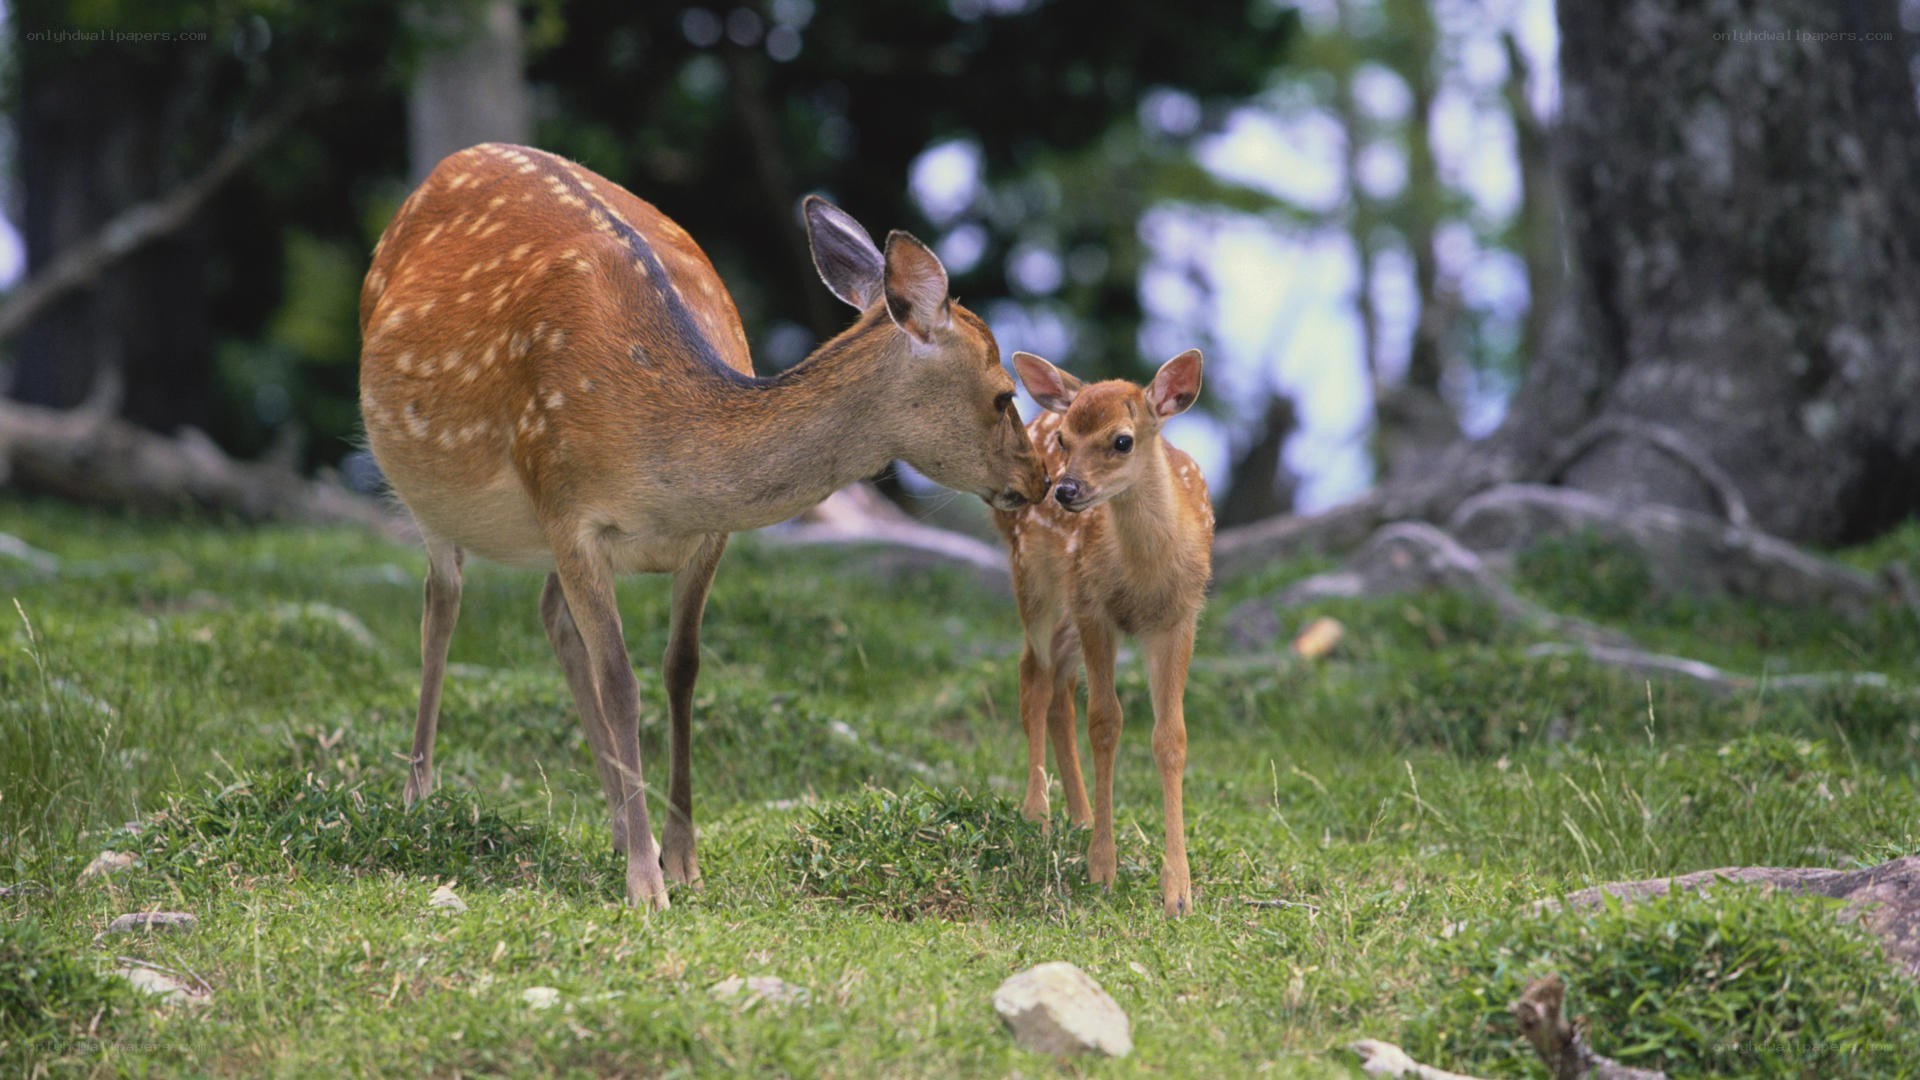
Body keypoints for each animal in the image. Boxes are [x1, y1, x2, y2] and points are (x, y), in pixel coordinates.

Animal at [358, 143, 1050, 910]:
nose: (1041, 481)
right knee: (441, 603)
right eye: (1003, 395)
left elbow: (680, 669)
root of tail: (449, 164)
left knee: (552, 617)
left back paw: (619, 824)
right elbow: (621, 680)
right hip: (429, 489)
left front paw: (681, 859)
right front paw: (645, 885)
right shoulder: (568, 507)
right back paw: (419, 795)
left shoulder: (706, 537)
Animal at [992, 349, 1212, 917]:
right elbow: (1105, 724)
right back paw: (1038, 813)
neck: (1143, 575)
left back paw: (1081, 814)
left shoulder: (1180, 617)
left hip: (1067, 610)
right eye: (1065, 439)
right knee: (1034, 677)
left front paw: (1178, 891)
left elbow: (1171, 737)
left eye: (1122, 440)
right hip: (1035, 577)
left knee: (1059, 690)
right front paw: (1102, 869)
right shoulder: (1095, 608)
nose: (1065, 489)